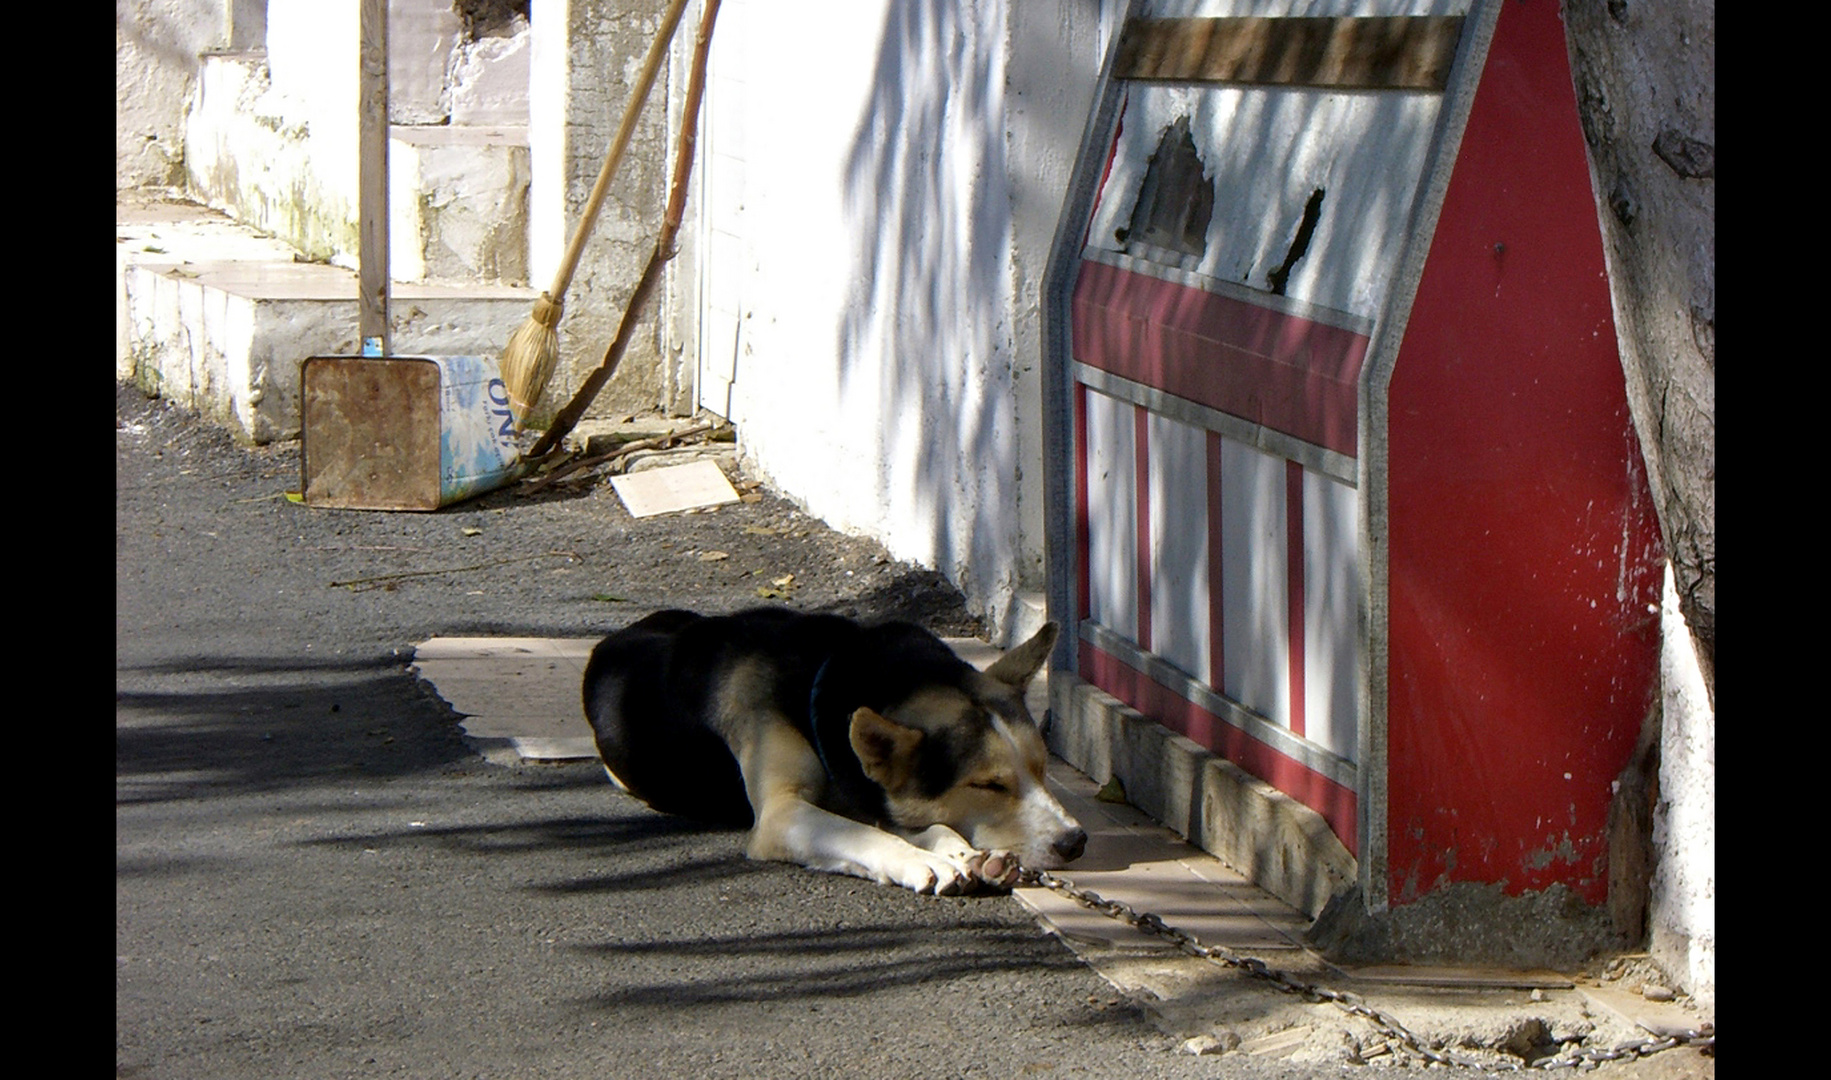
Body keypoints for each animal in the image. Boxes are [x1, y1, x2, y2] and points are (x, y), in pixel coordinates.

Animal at [582, 607, 1083, 896]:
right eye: (988, 785)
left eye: (1042, 769)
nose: (1075, 841)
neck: (821, 673)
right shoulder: (782, 814)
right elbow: (864, 835)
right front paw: (921, 860)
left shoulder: (865, 791)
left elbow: (912, 822)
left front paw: (963, 853)